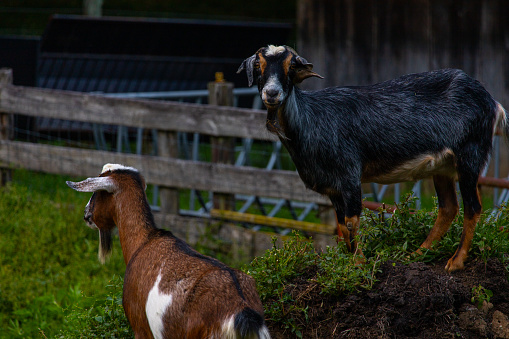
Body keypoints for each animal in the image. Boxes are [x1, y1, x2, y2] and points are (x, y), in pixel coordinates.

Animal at [237, 45, 504, 274]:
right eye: (258, 66)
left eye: (290, 66)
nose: (272, 93)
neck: (311, 121)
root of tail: (492, 102)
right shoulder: (333, 188)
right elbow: (341, 226)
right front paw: (346, 261)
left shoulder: (349, 174)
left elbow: (352, 221)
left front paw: (359, 264)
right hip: (442, 167)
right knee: (449, 207)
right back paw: (416, 254)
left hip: (470, 154)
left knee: (473, 207)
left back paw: (455, 262)